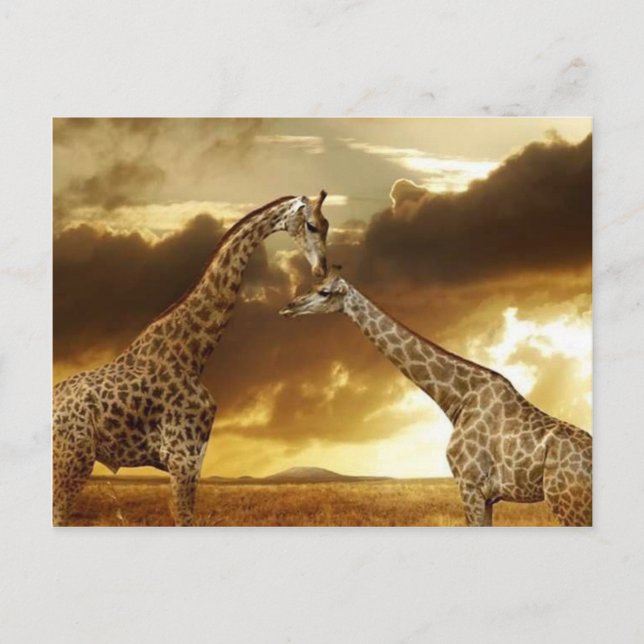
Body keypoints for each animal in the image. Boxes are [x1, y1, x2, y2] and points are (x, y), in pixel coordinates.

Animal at [53, 192, 330, 526]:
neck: (193, 355)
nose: (322, 270)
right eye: (312, 225)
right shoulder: (181, 457)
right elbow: (184, 517)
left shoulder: (194, 458)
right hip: (73, 459)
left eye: (328, 224)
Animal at [279, 272, 592, 527]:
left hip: (567, 501)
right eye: (312, 286)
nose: (288, 307)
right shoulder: (486, 496)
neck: (458, 399)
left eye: (324, 292)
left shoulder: (470, 485)